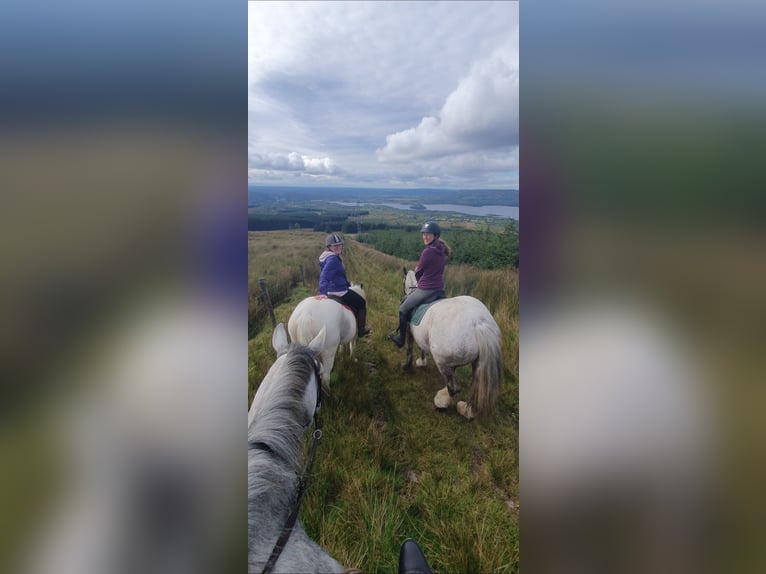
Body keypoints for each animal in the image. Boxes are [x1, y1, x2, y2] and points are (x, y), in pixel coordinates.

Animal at [402, 270, 504, 424]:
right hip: (477, 363)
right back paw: (466, 410)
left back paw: (441, 402)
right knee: (473, 386)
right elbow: (422, 348)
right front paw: (422, 361)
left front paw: (408, 366)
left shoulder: (409, 332)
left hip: (443, 359)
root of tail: (478, 323)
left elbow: (409, 349)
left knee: (453, 388)